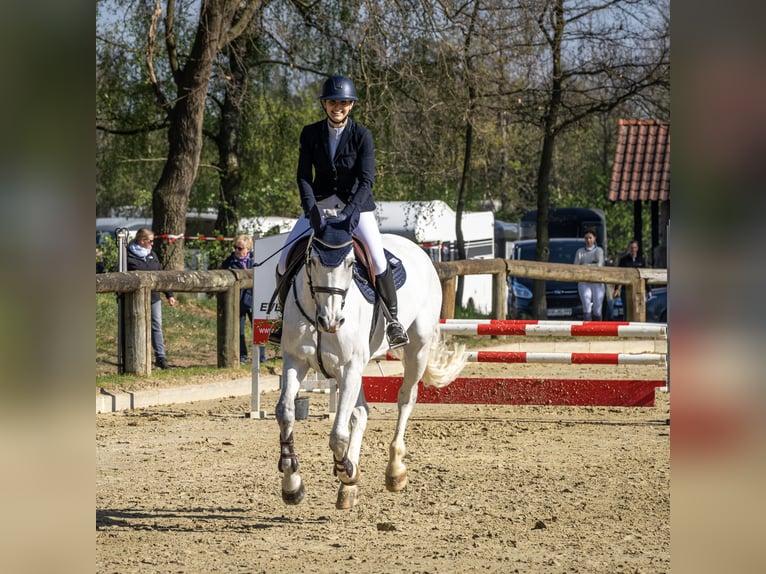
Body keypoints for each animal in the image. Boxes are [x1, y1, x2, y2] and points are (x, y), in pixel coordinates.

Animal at [275, 222, 467, 510]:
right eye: (313, 260)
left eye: (350, 263)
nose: (331, 320)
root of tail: (419, 250)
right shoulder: (295, 360)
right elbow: (286, 413)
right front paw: (292, 485)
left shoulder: (349, 367)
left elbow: (338, 434)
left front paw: (347, 471)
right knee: (361, 412)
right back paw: (349, 487)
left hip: (417, 349)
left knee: (405, 398)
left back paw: (394, 471)